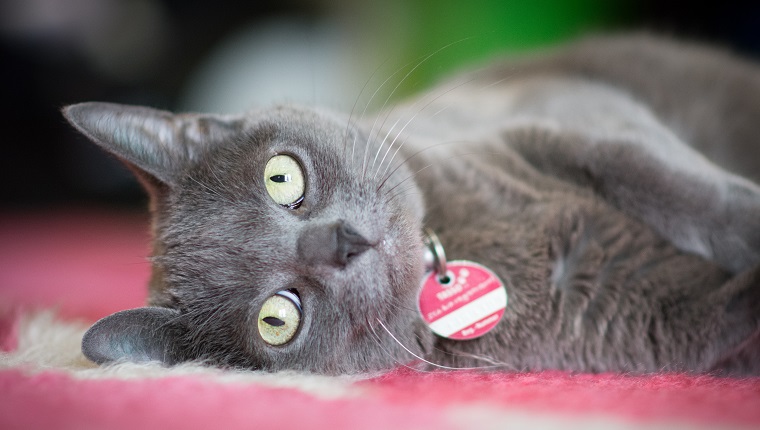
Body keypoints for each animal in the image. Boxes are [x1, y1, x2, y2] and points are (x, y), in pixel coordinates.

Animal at [62, 33, 760, 374]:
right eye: (277, 319)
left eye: (281, 178)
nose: (344, 242)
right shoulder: (651, 326)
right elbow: (722, 317)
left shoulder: (566, 115)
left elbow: (666, 180)